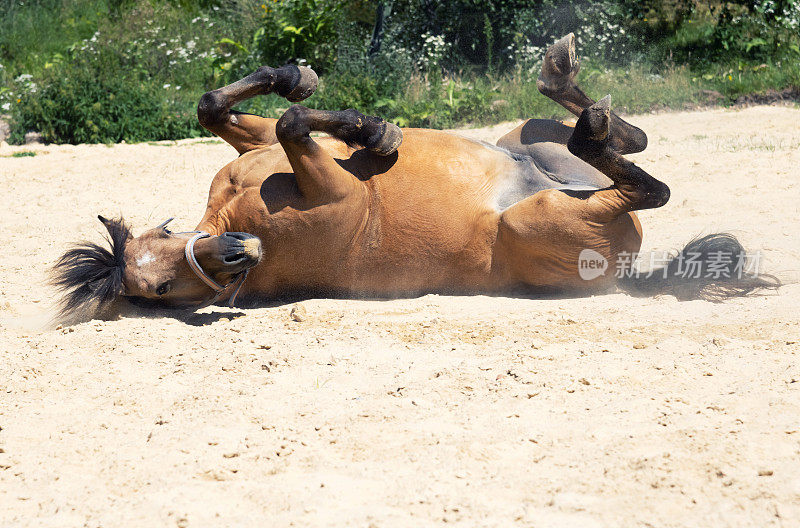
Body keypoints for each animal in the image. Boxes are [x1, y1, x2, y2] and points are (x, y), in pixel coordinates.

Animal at [53, 36, 780, 322]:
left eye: (162, 241)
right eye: (157, 288)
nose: (238, 253)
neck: (235, 216)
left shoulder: (264, 153)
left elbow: (235, 108)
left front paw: (329, 100)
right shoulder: (332, 190)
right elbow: (291, 122)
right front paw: (372, 130)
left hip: (526, 138)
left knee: (625, 142)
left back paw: (567, 84)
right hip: (540, 217)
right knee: (646, 188)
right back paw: (588, 121)